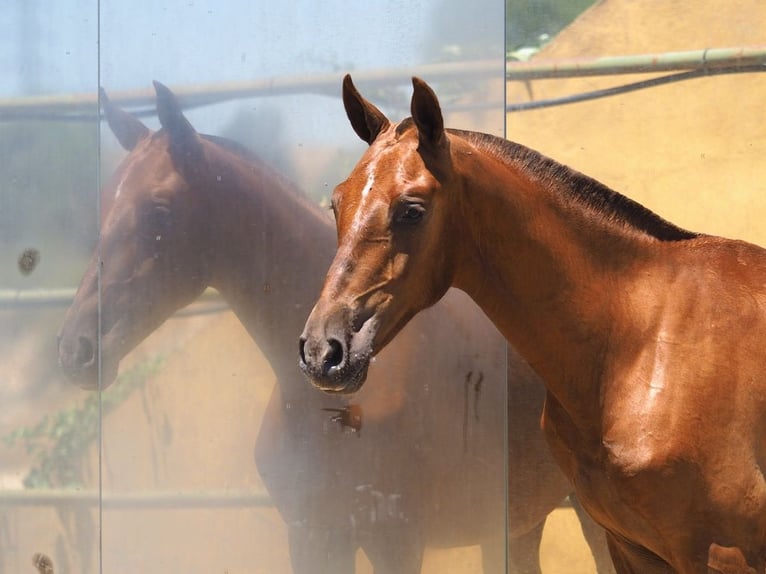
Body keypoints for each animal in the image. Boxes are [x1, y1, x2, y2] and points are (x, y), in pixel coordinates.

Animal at [57, 83, 616, 572]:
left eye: (158, 208)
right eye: (103, 204)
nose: (75, 349)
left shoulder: (395, 539)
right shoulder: (312, 536)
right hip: (518, 519)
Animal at [302, 76, 766, 574]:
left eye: (413, 209)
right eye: (337, 204)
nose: (322, 351)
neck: (642, 341)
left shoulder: (724, 555)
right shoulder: (631, 549)